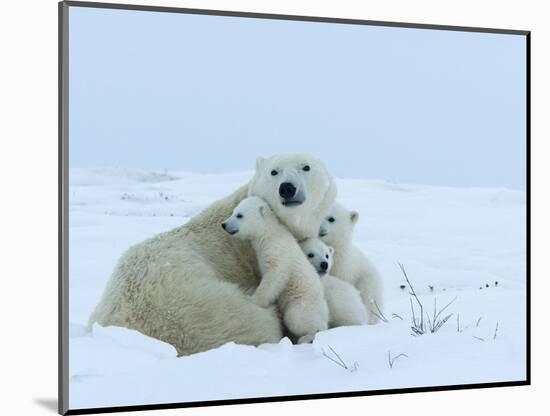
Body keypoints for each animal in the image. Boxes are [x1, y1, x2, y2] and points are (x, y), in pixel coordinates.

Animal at [222, 197, 330, 342]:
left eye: (239, 215)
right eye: (233, 212)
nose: (224, 224)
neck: (269, 233)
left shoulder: (276, 251)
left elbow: (274, 277)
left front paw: (252, 299)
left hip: (303, 304)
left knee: (298, 318)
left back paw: (306, 337)